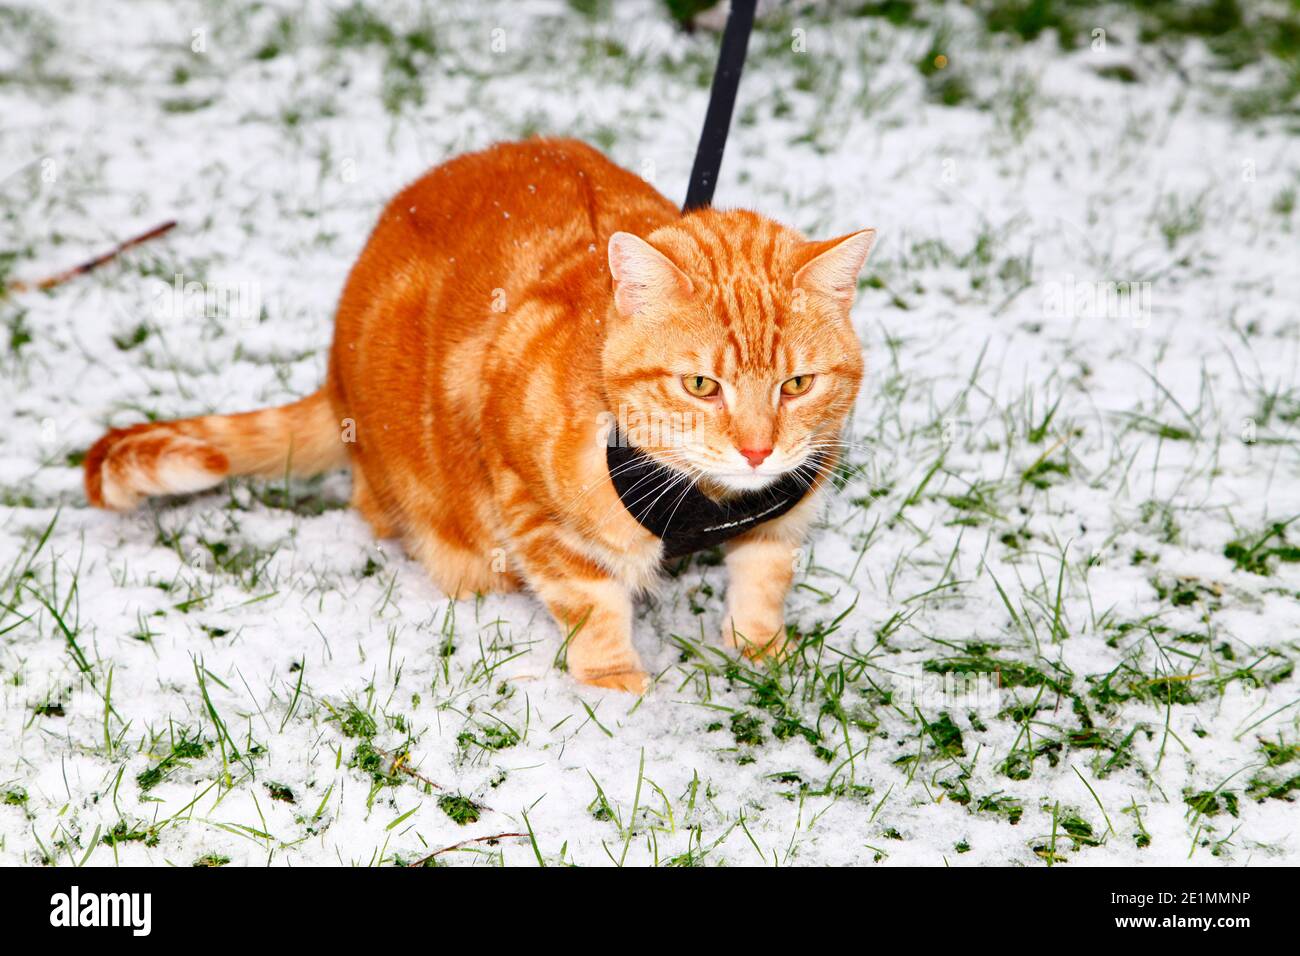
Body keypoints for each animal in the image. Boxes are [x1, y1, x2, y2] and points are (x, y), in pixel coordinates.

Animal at [81, 138, 873, 691]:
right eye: (702, 385)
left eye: (798, 384)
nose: (757, 451)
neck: (705, 498)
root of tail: (334, 376)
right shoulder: (530, 506)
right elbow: (592, 604)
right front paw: (617, 688)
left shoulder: (782, 516)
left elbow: (763, 583)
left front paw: (762, 654)